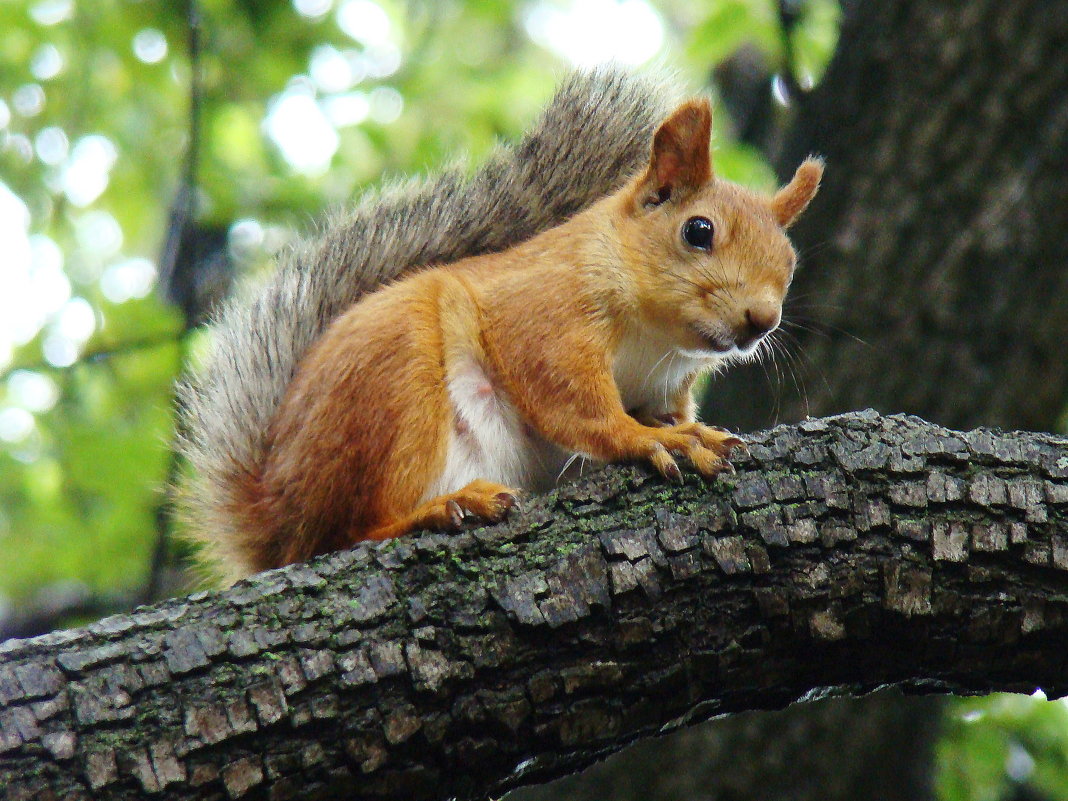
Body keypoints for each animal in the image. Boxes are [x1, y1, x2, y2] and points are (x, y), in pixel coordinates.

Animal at [179, 68, 820, 585]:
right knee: (351, 531)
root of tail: (275, 513)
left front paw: (688, 431)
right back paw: (443, 509)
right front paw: (652, 440)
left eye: (790, 263)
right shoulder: (542, 315)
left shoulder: (665, 386)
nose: (761, 320)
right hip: (397, 376)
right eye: (698, 231)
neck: (658, 340)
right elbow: (575, 405)